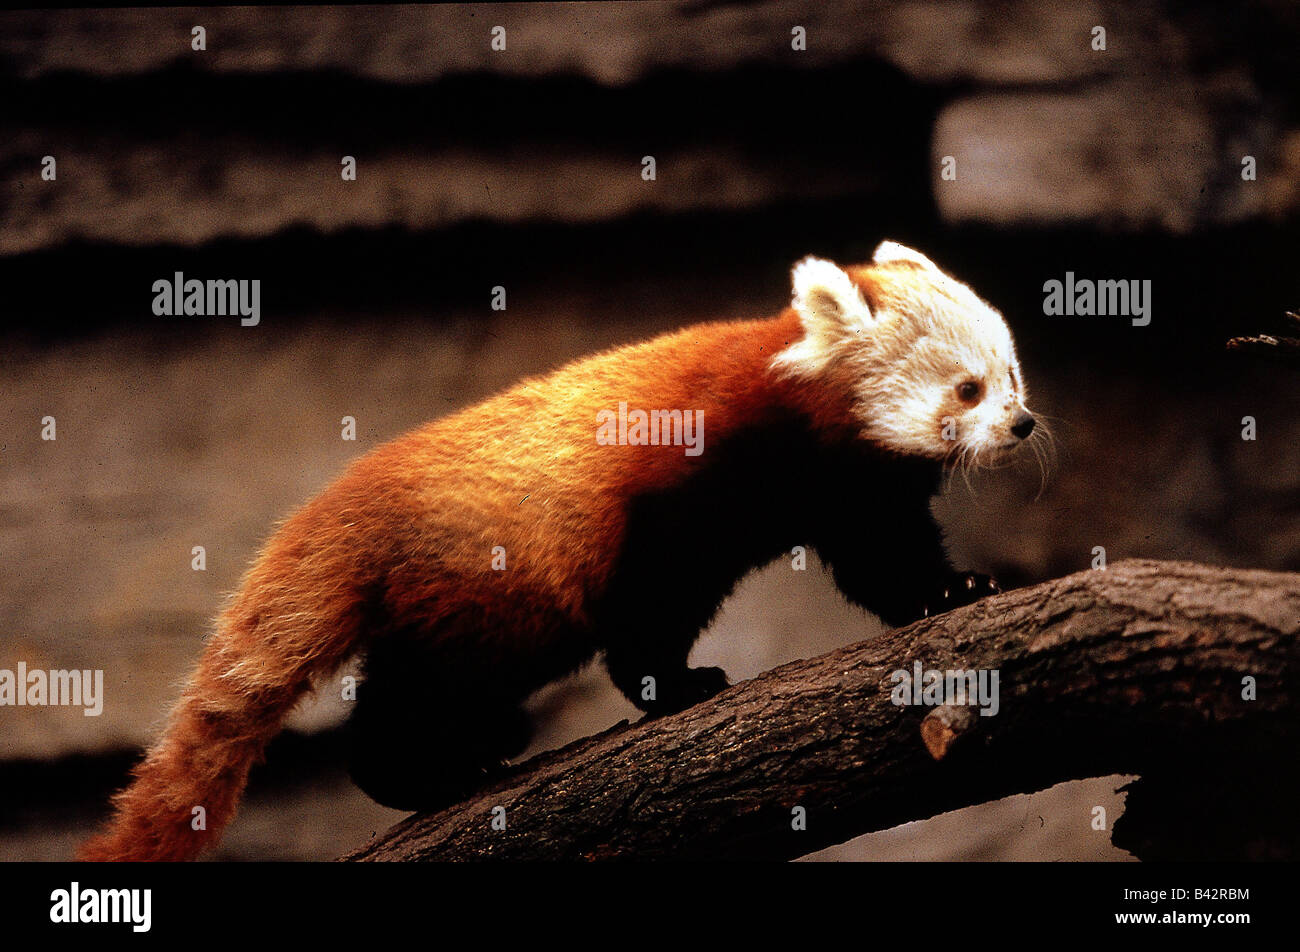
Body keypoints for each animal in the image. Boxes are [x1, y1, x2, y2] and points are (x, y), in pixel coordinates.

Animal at [79, 240, 1040, 861]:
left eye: (1014, 374)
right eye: (969, 387)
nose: (1025, 424)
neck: (791, 402)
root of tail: (344, 502)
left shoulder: (849, 494)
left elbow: (884, 557)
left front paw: (951, 591)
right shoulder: (691, 482)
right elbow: (653, 603)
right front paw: (674, 686)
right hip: (486, 595)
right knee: (412, 696)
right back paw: (428, 770)